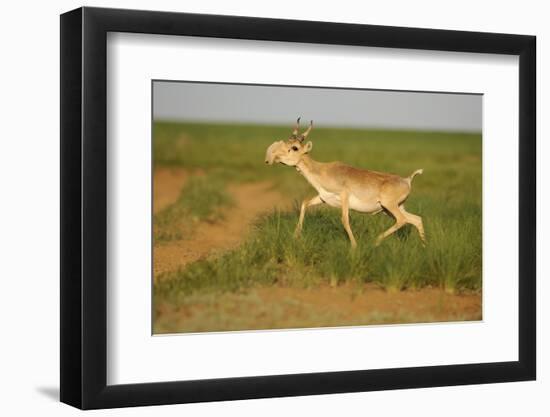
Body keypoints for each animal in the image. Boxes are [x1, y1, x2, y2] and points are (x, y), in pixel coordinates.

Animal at [266, 118, 426, 247]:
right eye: (286, 142)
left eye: (294, 147)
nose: (272, 158)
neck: (323, 170)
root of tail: (407, 180)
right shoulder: (323, 198)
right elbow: (304, 204)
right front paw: (295, 236)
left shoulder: (344, 198)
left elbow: (344, 220)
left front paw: (354, 246)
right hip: (392, 208)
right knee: (416, 219)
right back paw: (424, 247)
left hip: (389, 207)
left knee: (403, 220)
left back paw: (376, 241)